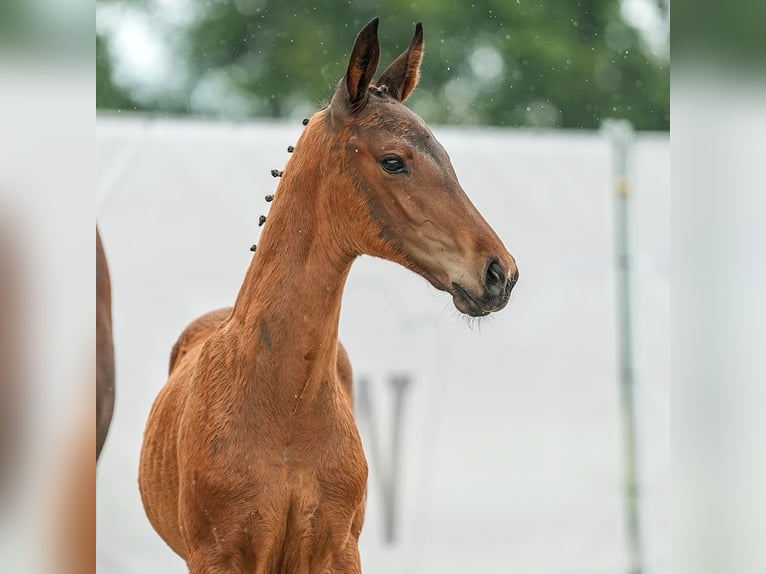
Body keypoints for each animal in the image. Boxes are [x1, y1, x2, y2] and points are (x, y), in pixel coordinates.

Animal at [141, 18, 520, 574]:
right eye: (393, 161)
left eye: (448, 158)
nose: (499, 273)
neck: (288, 408)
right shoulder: (219, 555)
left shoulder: (337, 550)